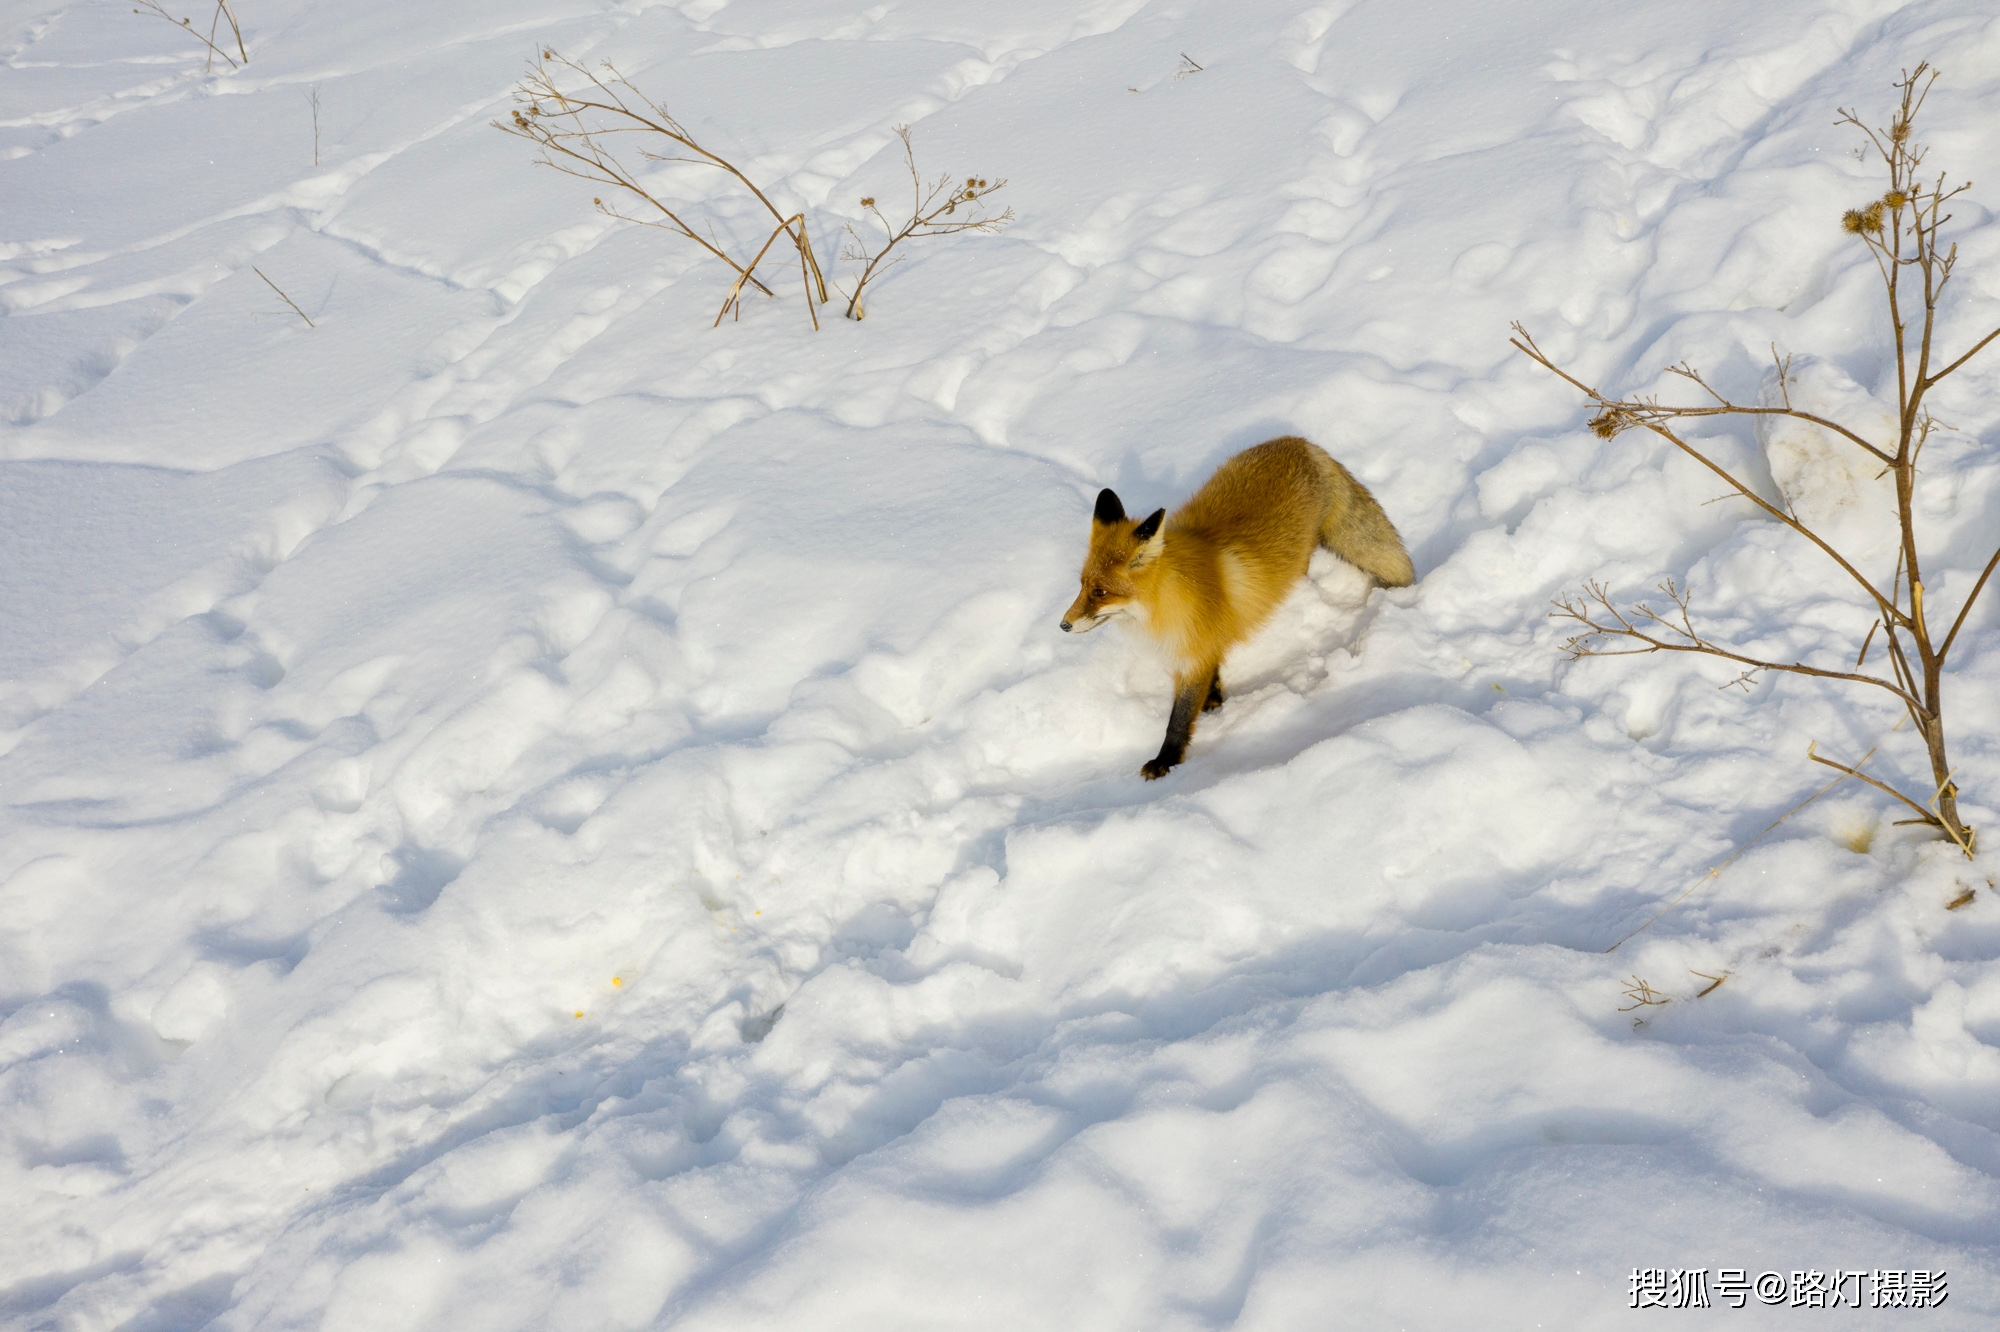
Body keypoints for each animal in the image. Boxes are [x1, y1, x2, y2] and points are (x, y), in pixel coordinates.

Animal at [1064, 434, 1408, 780]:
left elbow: (1178, 720)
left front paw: (1166, 761)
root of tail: (1300, 442)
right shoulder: (1199, 647)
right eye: (1082, 585)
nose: (1063, 625)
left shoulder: (1191, 656)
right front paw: (1214, 698)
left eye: (1101, 592)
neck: (1167, 601)